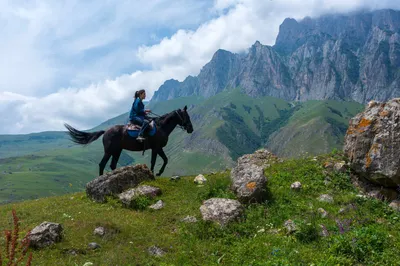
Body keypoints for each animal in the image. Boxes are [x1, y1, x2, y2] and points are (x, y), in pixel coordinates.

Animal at [63, 105, 193, 177]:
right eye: (187, 116)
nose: (191, 129)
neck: (161, 127)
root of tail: (106, 131)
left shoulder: (157, 148)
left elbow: (165, 160)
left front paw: (158, 173)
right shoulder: (156, 148)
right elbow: (155, 162)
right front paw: (155, 173)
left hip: (117, 151)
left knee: (112, 165)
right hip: (109, 151)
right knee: (102, 164)